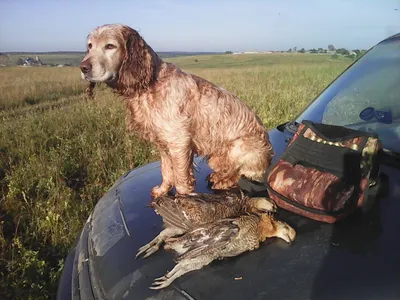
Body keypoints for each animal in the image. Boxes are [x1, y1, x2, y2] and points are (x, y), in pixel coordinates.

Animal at [79, 24, 276, 198]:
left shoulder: (179, 143)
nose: (83, 67)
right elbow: (167, 172)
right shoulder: (164, 145)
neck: (150, 85)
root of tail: (269, 158)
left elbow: (181, 181)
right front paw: (162, 191)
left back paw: (222, 181)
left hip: (235, 148)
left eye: (110, 46)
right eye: (90, 46)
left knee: (241, 175)